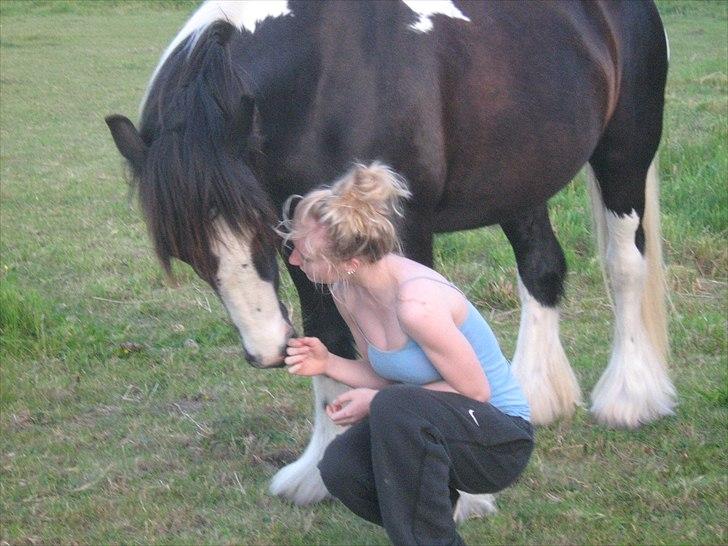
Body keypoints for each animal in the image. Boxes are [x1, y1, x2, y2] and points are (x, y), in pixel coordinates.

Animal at [106, 0, 676, 516]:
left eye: (258, 226)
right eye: (184, 250)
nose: (266, 350)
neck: (322, 78)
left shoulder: (401, 230)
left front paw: (459, 494)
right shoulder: (306, 240)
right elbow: (328, 337)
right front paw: (317, 470)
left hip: (624, 154)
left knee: (626, 267)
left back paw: (629, 398)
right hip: (522, 176)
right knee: (541, 268)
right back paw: (535, 398)